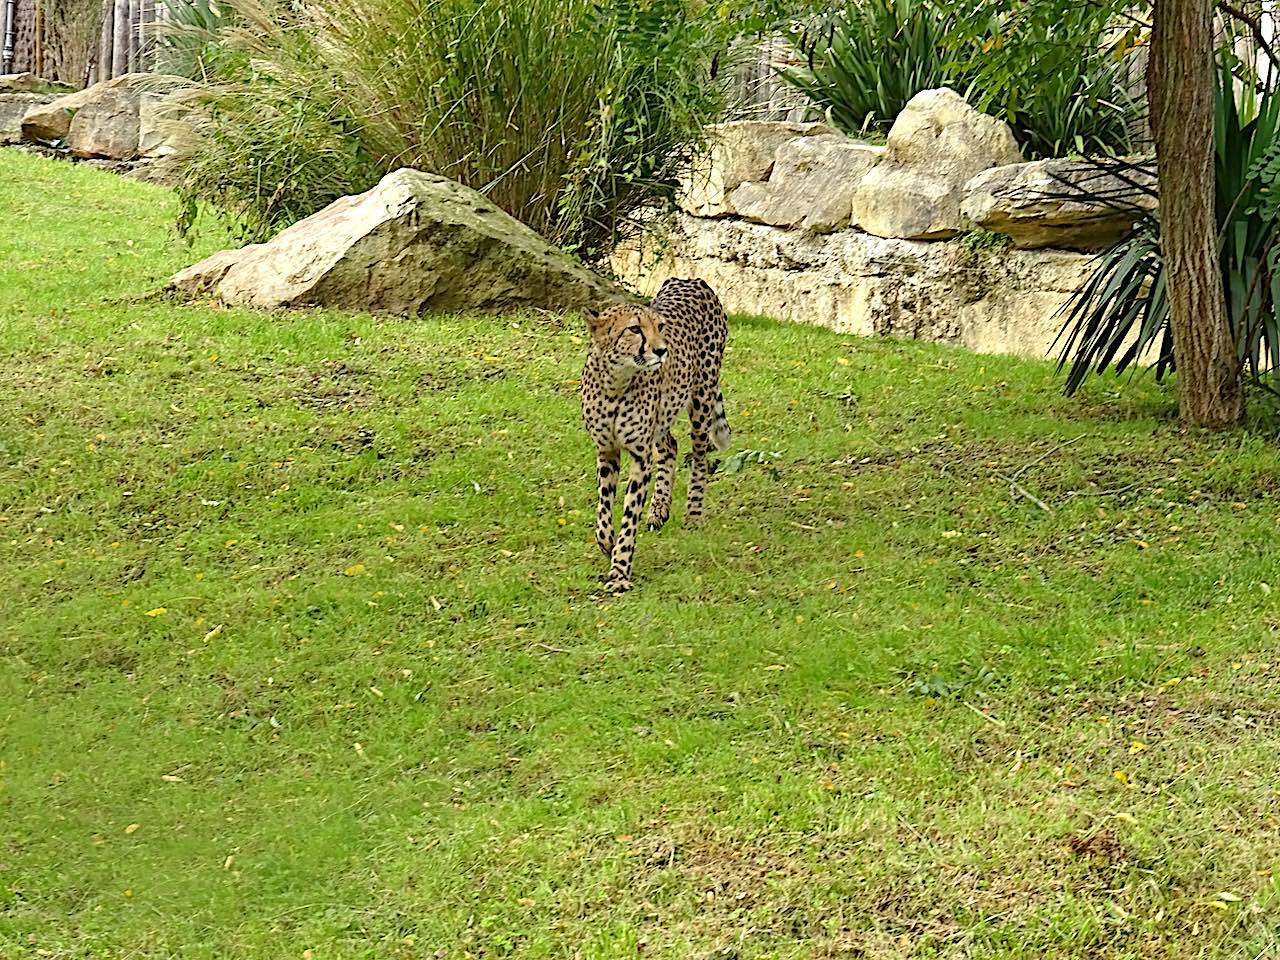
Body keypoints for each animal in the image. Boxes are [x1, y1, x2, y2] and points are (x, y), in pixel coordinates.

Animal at [581, 276, 732, 593]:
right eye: (634, 329)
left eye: (659, 327)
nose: (662, 351)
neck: (616, 383)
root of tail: (690, 279)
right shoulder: (606, 449)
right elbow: (604, 507)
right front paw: (607, 542)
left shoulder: (639, 455)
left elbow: (629, 516)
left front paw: (619, 572)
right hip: (665, 413)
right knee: (670, 445)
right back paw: (658, 510)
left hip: (701, 399)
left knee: (699, 457)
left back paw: (693, 515)